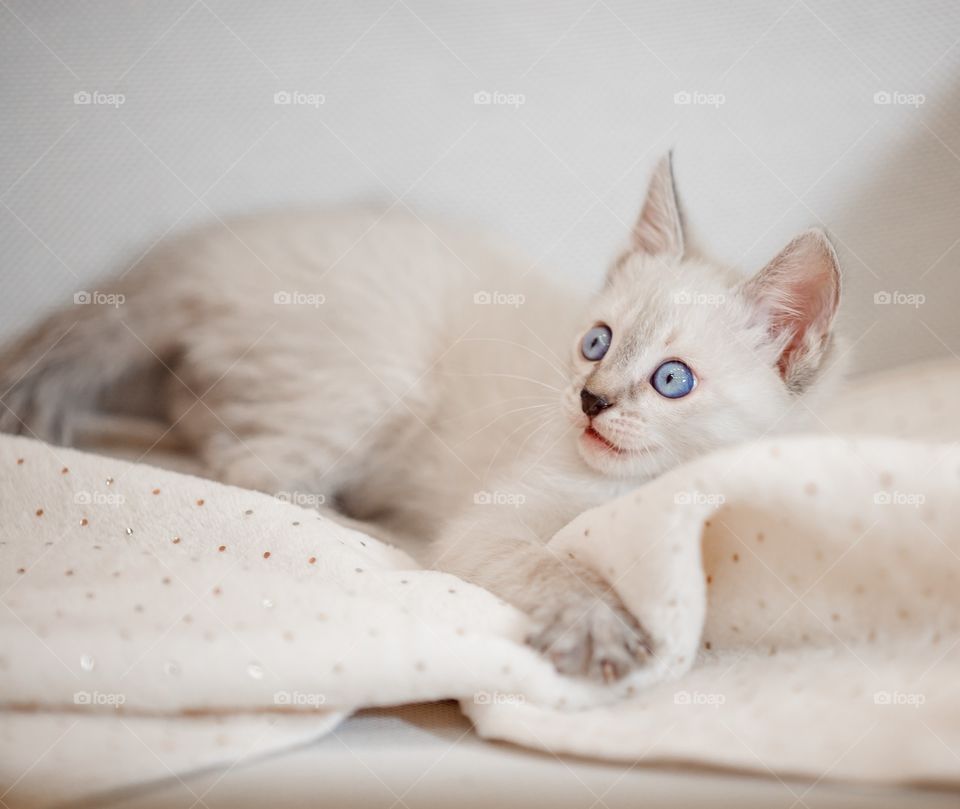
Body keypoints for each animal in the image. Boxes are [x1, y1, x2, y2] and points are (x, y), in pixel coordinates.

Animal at [0, 155, 840, 680]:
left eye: (671, 380)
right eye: (596, 343)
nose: (591, 399)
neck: (637, 484)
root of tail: (198, 254)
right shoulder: (488, 522)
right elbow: (555, 565)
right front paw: (596, 625)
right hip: (383, 373)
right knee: (250, 467)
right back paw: (367, 523)